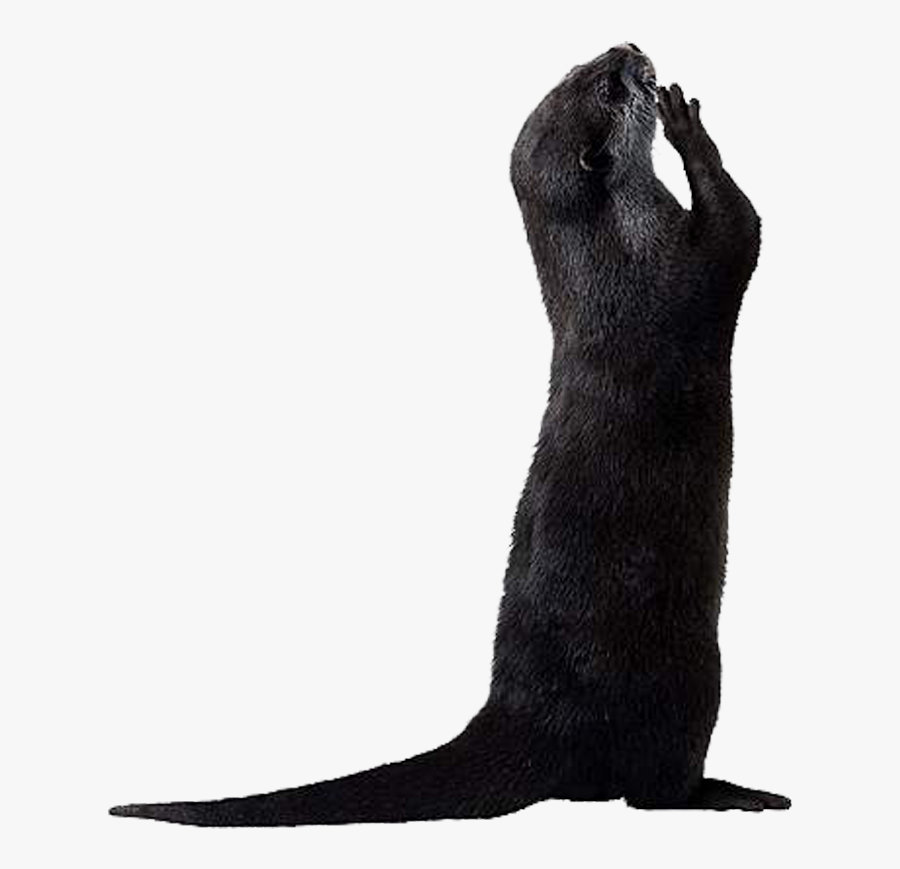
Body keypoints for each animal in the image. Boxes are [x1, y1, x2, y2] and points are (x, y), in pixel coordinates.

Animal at [110, 43, 789, 825]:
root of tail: (522, 720)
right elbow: (742, 226)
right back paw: (734, 793)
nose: (628, 49)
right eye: (606, 87)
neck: (617, 255)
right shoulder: (688, 267)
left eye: (579, 67)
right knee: (649, 792)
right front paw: (686, 125)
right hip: (690, 679)